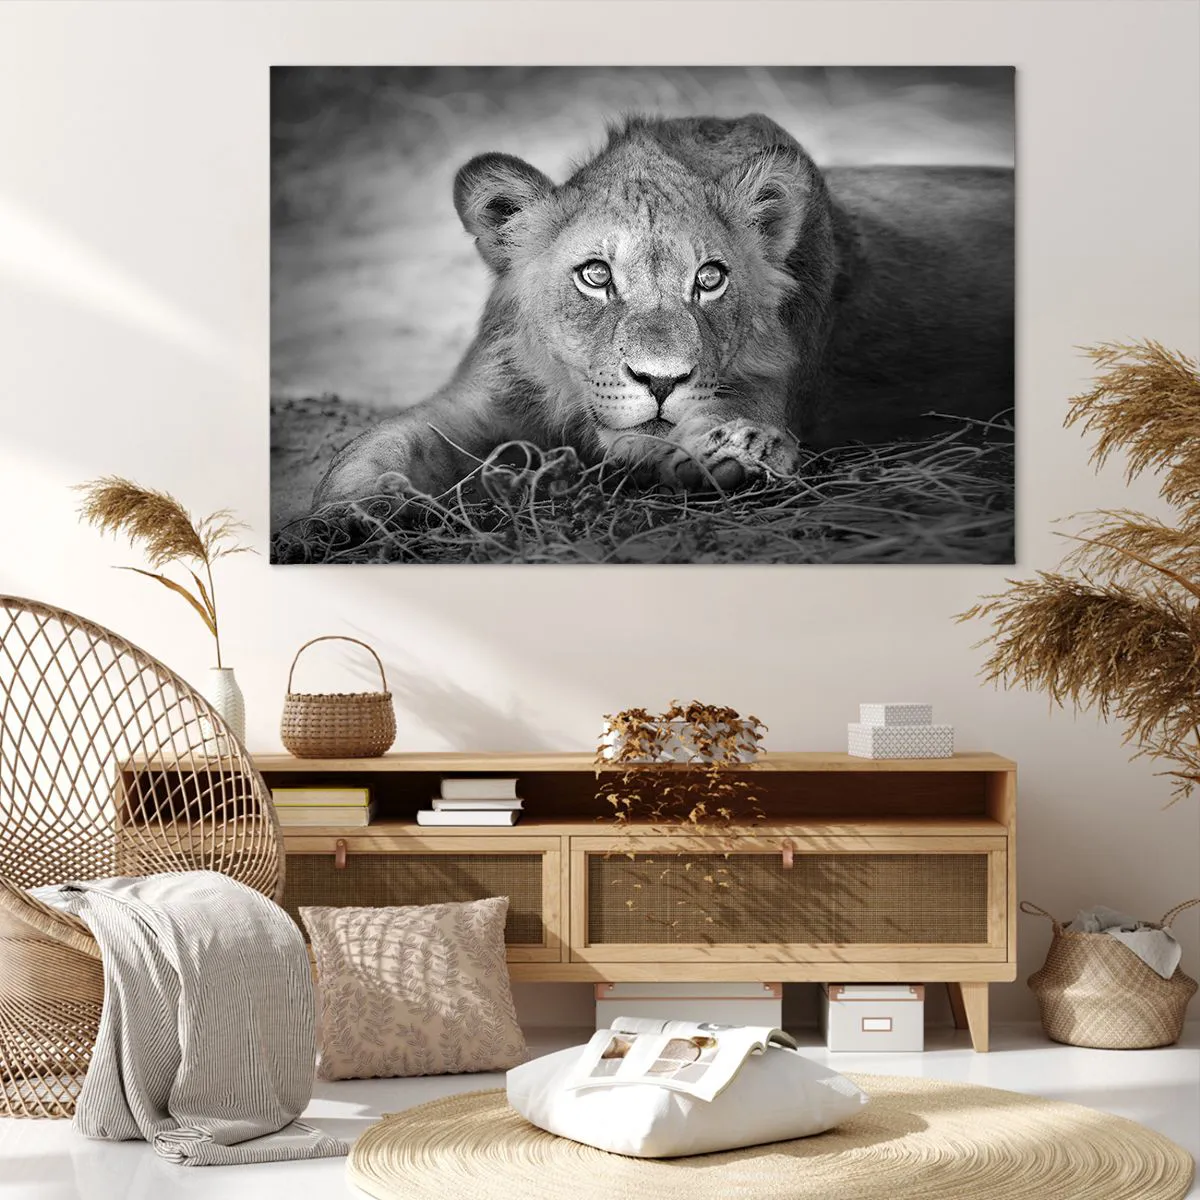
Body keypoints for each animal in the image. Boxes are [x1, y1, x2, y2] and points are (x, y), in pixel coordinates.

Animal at [313, 113, 1012, 506]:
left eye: (710, 278)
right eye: (596, 275)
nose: (660, 381)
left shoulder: (768, 386)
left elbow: (691, 429)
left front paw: (737, 450)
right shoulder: (482, 398)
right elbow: (383, 440)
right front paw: (354, 508)